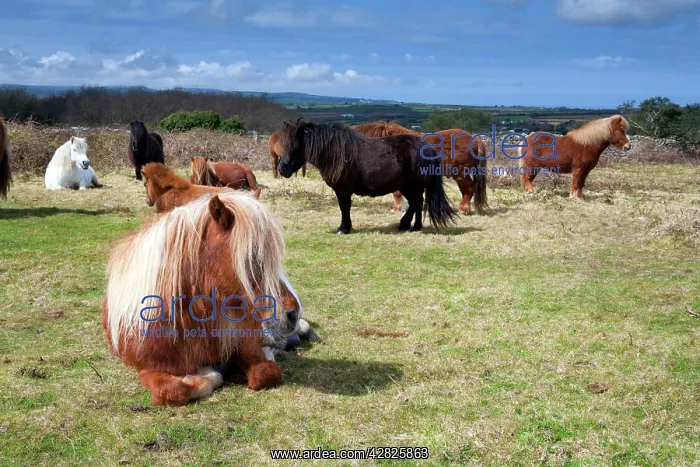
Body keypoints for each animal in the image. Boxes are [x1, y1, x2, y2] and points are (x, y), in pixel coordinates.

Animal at [103, 192, 304, 405]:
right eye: (251, 257)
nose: (293, 314)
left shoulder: (245, 345)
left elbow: (266, 373)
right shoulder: (148, 368)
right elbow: (176, 390)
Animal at [277, 121, 456, 234]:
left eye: (295, 146)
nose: (282, 168)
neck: (338, 154)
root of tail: (428, 148)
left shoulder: (343, 190)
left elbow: (344, 208)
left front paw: (343, 229)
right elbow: (345, 208)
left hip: (414, 186)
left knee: (416, 203)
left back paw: (410, 225)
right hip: (407, 187)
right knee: (416, 204)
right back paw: (410, 226)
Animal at [353, 121, 488, 215]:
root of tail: (475, 139)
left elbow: (396, 193)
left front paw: (397, 208)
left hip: (460, 173)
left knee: (469, 189)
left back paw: (463, 209)